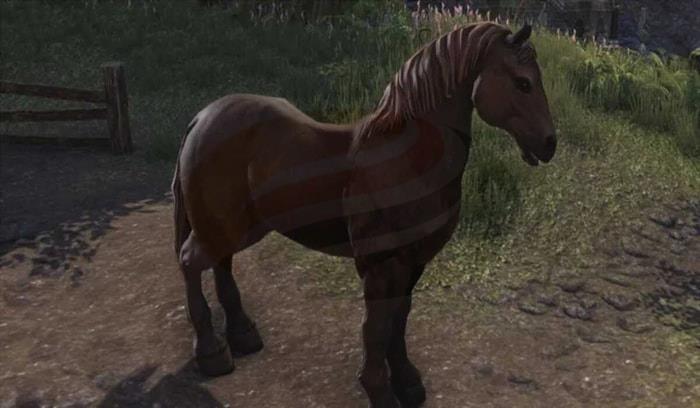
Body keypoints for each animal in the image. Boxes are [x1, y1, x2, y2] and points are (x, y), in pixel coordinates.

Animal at [172, 22, 556, 408]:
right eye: (523, 82)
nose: (549, 144)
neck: (407, 157)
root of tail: (203, 117)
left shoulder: (413, 261)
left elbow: (399, 318)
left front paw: (408, 382)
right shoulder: (381, 263)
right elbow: (377, 326)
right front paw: (380, 390)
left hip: (238, 226)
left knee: (221, 263)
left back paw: (244, 336)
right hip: (221, 226)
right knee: (190, 262)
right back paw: (212, 353)